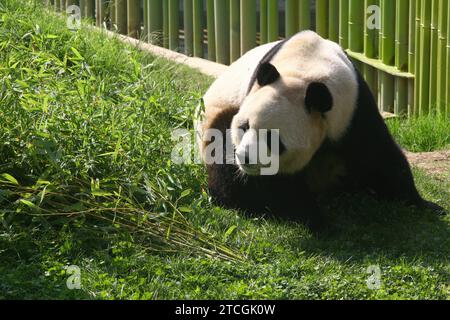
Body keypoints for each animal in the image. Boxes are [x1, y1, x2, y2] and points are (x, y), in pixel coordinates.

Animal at [196, 30, 442, 228]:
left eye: (273, 139)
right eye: (244, 127)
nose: (245, 158)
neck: (304, 72)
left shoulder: (354, 110)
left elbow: (380, 156)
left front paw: (426, 205)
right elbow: (270, 187)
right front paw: (316, 220)